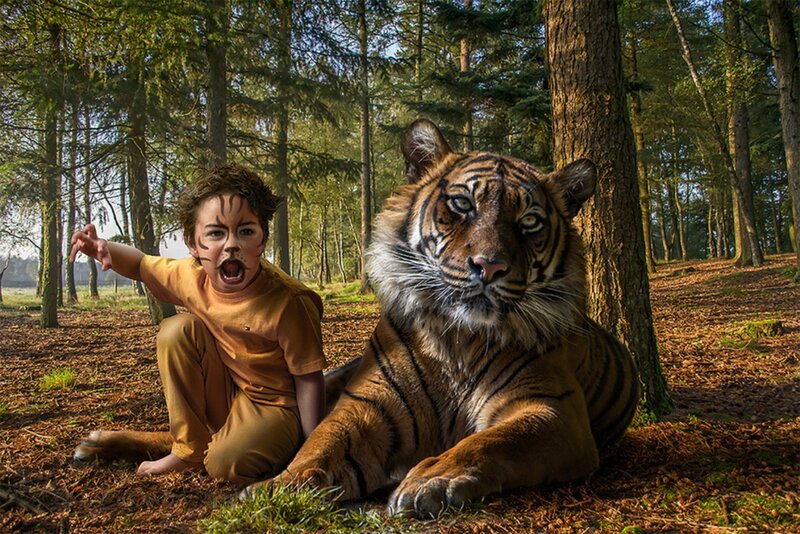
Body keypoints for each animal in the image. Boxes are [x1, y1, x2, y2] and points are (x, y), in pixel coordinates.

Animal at [240, 118, 641, 518]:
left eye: (529, 221)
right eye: (462, 204)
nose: (489, 266)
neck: (459, 338)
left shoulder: (553, 408)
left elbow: (493, 440)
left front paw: (431, 479)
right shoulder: (368, 402)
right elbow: (323, 441)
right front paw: (280, 486)